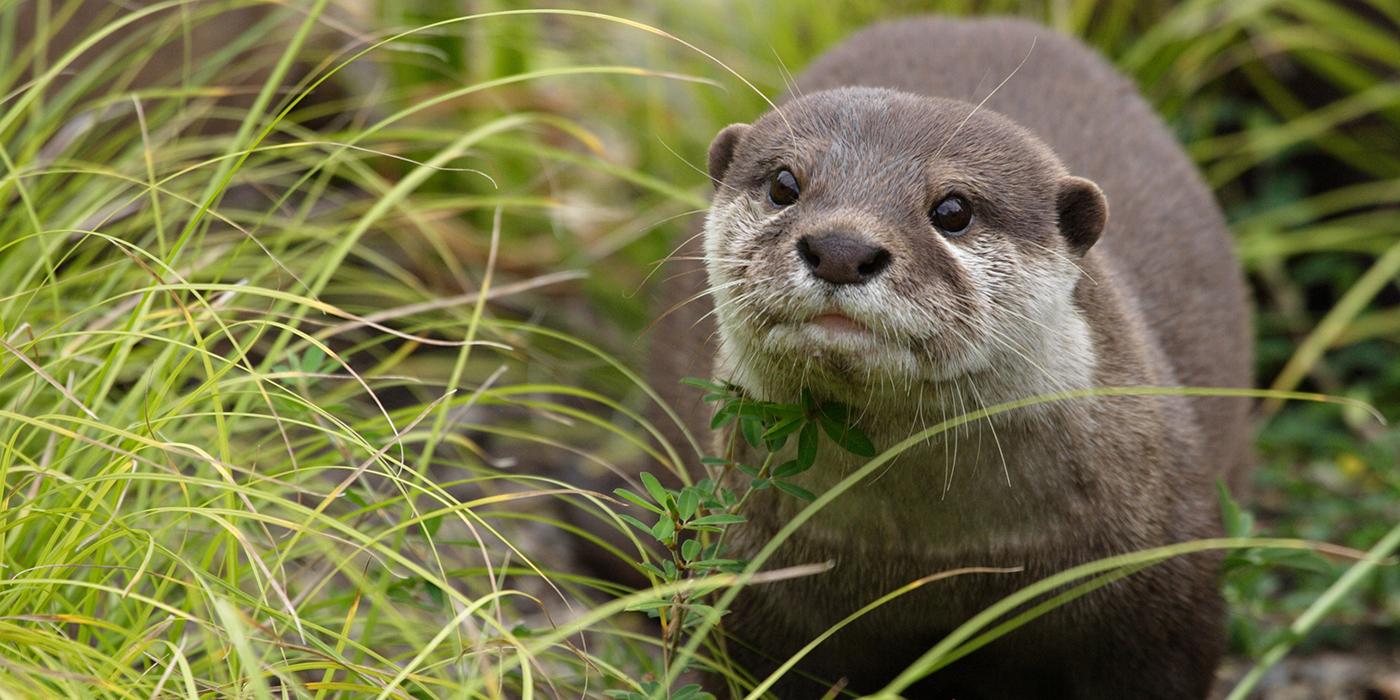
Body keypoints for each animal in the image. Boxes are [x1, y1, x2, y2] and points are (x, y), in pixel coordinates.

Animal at [649, 13, 1254, 697]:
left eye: (954, 209)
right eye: (784, 184)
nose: (840, 247)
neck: (935, 561)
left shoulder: (1161, 584)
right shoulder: (749, 587)